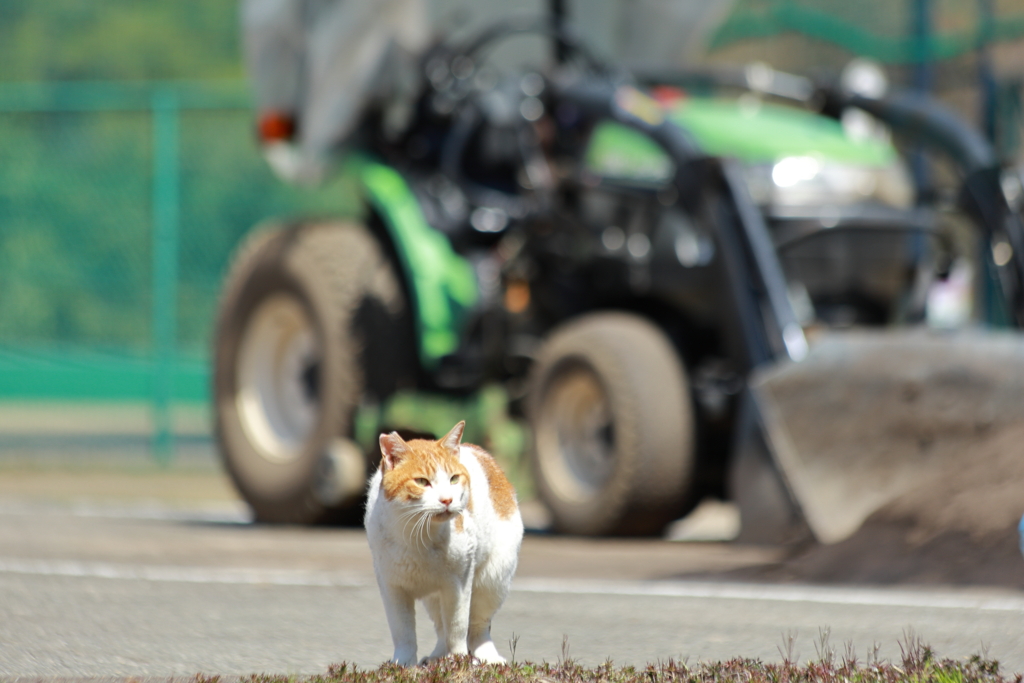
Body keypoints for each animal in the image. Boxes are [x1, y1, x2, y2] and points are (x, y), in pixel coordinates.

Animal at [362, 419, 520, 663]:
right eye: (421, 481)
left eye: (454, 479)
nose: (447, 499)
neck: (417, 535)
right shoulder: (391, 587)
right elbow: (403, 631)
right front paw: (403, 664)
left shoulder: (459, 585)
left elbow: (457, 628)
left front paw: (458, 663)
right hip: (435, 597)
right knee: (440, 627)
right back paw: (436, 658)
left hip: (493, 579)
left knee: (478, 626)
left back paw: (486, 657)